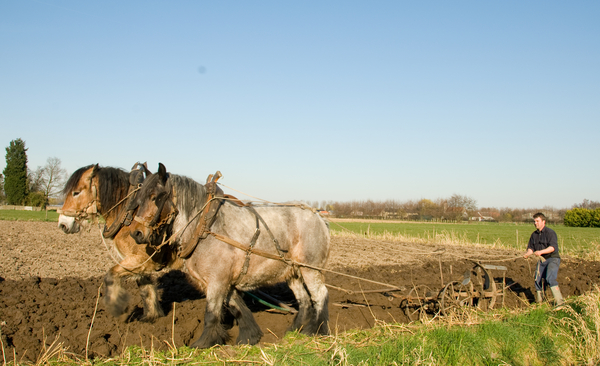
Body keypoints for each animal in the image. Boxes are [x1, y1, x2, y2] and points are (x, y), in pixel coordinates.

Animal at [58, 164, 176, 322]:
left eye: (76, 192)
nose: (63, 224)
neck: (128, 216)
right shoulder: (138, 262)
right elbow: (145, 288)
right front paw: (152, 316)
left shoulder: (142, 259)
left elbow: (111, 275)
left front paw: (119, 308)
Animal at [129, 164, 332, 348]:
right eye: (139, 198)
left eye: (155, 197)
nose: (135, 233)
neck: (204, 227)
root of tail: (320, 218)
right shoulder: (224, 280)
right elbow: (238, 308)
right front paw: (249, 337)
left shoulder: (217, 280)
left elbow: (211, 313)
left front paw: (203, 343)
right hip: (292, 272)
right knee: (304, 300)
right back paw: (293, 331)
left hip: (310, 269)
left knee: (320, 295)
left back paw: (315, 331)